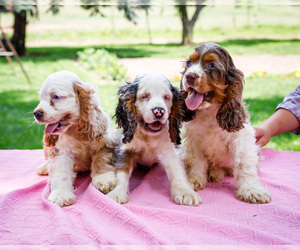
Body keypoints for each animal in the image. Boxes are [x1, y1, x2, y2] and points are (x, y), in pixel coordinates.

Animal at [34, 71, 119, 207]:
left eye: (56, 96)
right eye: (41, 98)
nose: (36, 113)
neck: (75, 130)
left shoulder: (105, 143)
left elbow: (101, 162)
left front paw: (104, 180)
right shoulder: (61, 152)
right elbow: (61, 173)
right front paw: (61, 194)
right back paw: (44, 168)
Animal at [106, 72, 200, 205]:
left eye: (166, 97)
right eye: (145, 96)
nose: (159, 111)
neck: (147, 136)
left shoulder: (169, 151)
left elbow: (177, 171)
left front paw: (185, 192)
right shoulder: (126, 150)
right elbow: (121, 172)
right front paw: (117, 194)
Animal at [180, 43, 272, 203]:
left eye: (211, 66)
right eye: (189, 63)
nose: (189, 76)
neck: (210, 111)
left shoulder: (241, 139)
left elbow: (244, 165)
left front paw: (252, 190)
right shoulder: (194, 140)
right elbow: (196, 161)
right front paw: (194, 180)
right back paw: (214, 173)